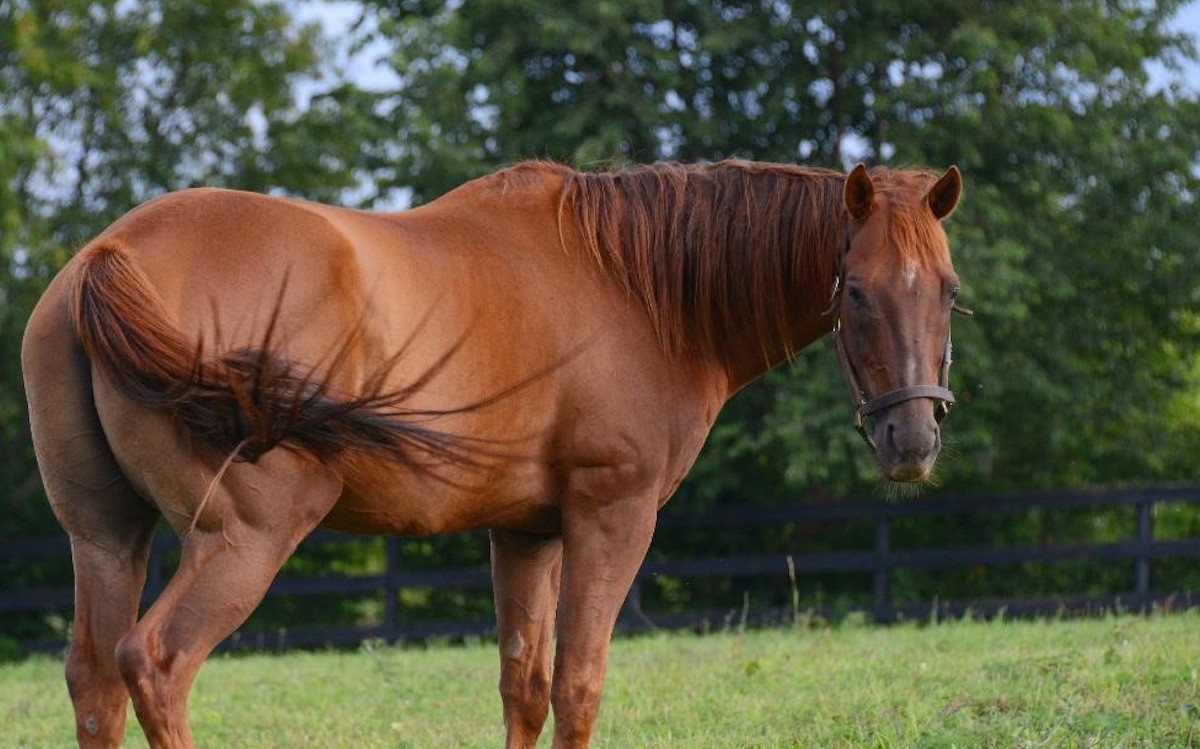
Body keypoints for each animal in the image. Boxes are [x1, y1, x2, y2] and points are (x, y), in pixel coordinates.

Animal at [21, 159, 964, 749]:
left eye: (949, 293)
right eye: (855, 291)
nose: (913, 442)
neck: (633, 288)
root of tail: (109, 255)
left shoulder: (525, 533)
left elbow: (525, 687)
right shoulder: (609, 516)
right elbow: (579, 685)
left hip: (105, 539)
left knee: (95, 680)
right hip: (245, 538)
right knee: (158, 664)